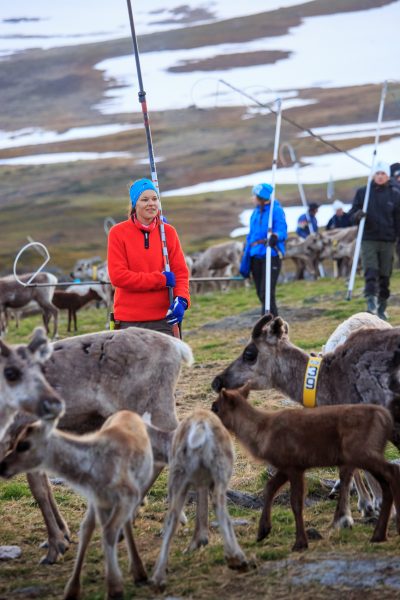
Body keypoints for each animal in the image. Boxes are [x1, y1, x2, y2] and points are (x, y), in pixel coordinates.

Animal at [147, 408, 247, 592]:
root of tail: (200, 427)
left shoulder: (200, 481)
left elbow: (201, 509)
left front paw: (197, 543)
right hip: (221, 468)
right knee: (219, 506)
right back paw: (237, 558)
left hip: (179, 476)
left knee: (172, 517)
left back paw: (158, 578)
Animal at [211, 386, 400, 552]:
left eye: (215, 407)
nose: (209, 423)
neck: (261, 434)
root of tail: (386, 418)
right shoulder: (286, 465)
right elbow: (269, 487)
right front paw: (263, 531)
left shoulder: (293, 465)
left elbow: (296, 503)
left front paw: (300, 543)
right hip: (365, 453)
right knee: (386, 480)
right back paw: (379, 534)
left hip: (361, 450)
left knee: (393, 470)